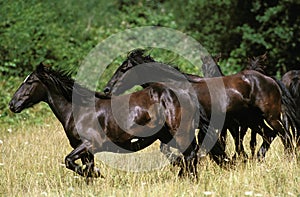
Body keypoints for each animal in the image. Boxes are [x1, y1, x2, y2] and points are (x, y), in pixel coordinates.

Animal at [9, 63, 212, 178]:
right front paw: (94, 176)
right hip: (167, 135)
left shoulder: (89, 144)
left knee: (190, 156)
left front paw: (98, 174)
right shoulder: (86, 152)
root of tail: (186, 93)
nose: (12, 104)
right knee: (187, 156)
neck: (79, 110)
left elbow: (68, 161)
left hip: (180, 132)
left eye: (30, 82)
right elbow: (84, 170)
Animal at [103, 50, 298, 159]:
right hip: (252, 121)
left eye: (123, 69)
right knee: (269, 136)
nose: (107, 89)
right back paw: (257, 159)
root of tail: (269, 79)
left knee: (285, 137)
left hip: (270, 117)